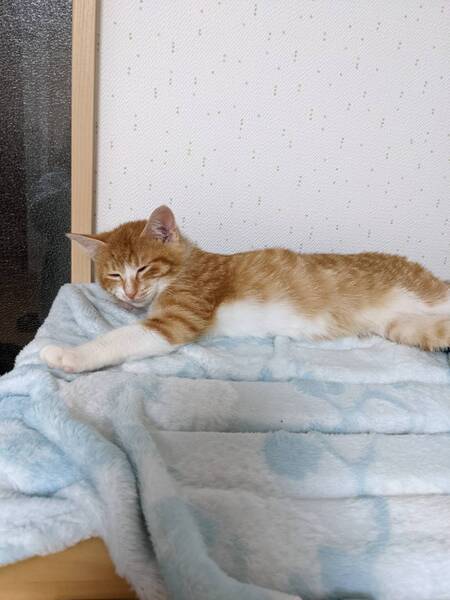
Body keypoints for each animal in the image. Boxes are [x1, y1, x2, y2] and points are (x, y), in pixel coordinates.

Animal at [40, 205, 450, 373]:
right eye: (113, 275)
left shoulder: (178, 318)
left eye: (143, 267)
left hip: (424, 294)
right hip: (408, 326)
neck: (184, 268)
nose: (129, 293)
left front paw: (68, 355)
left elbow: (121, 338)